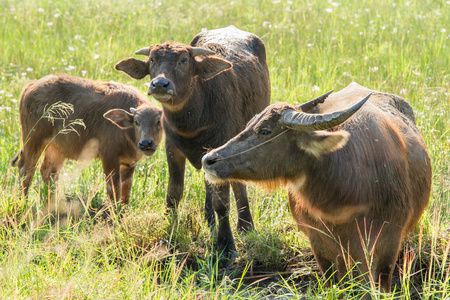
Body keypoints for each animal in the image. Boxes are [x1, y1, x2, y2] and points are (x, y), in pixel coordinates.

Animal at [11, 74, 163, 204]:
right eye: (137, 122)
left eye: (158, 122)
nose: (146, 144)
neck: (126, 133)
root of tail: (31, 86)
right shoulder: (109, 156)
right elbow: (113, 188)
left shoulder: (129, 163)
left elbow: (126, 190)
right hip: (34, 137)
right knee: (26, 168)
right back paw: (22, 201)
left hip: (57, 147)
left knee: (49, 172)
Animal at [115, 26, 270, 255]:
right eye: (153, 59)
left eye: (183, 60)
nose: (159, 84)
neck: (193, 118)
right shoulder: (172, 148)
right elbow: (174, 193)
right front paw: (170, 230)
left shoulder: (220, 147)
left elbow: (222, 201)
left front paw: (226, 245)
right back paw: (209, 221)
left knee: (237, 184)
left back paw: (245, 225)